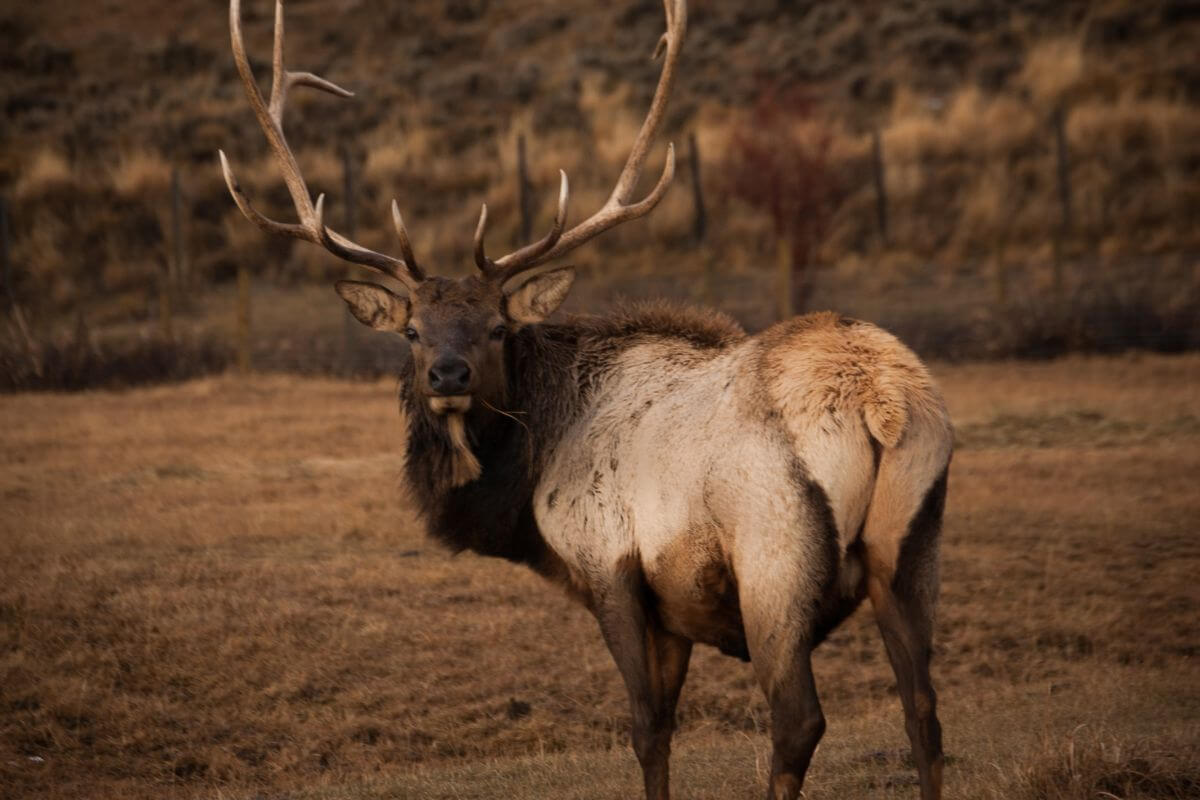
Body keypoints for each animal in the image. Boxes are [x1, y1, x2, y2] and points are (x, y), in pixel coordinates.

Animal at [213, 3, 945, 796]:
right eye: (412, 331)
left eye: (497, 327)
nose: (448, 376)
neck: (530, 475)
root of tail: (879, 402)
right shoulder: (671, 605)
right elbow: (665, 723)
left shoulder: (608, 563)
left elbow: (647, 729)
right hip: (912, 545)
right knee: (923, 709)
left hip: (774, 555)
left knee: (800, 720)